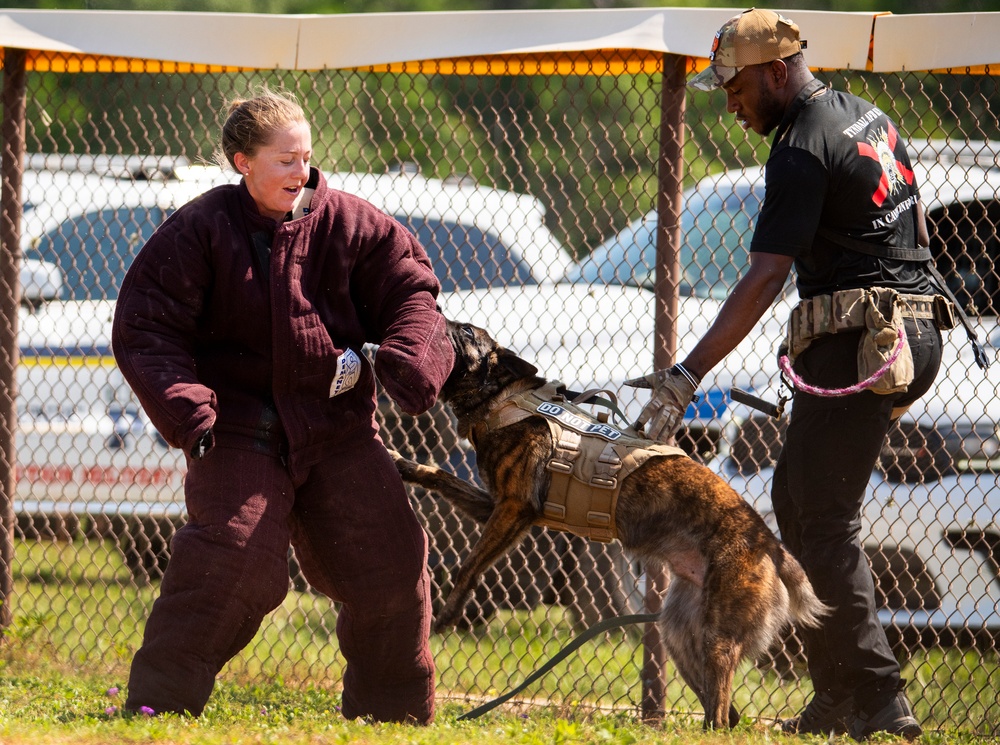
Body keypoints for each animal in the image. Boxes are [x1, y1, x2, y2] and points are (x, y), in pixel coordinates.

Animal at [392, 320, 828, 728]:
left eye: (466, 332)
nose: (436, 312)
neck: (504, 400)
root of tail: (771, 545)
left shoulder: (515, 509)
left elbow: (468, 566)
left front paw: (448, 613)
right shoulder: (492, 506)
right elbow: (440, 476)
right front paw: (405, 466)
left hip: (718, 638)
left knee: (722, 715)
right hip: (681, 636)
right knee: (725, 711)